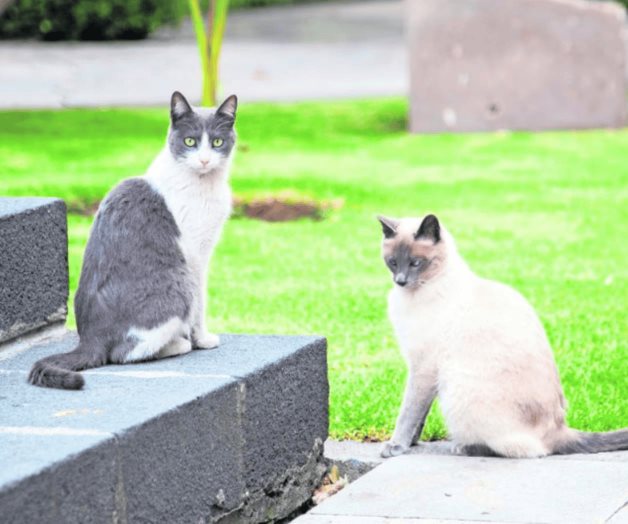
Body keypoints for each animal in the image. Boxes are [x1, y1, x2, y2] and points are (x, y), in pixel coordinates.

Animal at [28, 92, 238, 390]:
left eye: (217, 142)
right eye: (190, 141)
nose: (205, 161)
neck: (205, 184)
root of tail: (89, 339)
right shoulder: (196, 255)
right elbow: (200, 305)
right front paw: (203, 339)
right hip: (179, 281)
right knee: (121, 354)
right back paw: (177, 345)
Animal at [378, 214, 628, 458]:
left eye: (416, 263)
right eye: (392, 262)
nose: (400, 281)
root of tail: (561, 429)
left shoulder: (423, 367)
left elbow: (408, 413)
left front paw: (395, 446)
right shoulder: (423, 371)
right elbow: (419, 417)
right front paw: (411, 443)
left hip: (456, 387)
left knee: (527, 450)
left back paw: (463, 447)